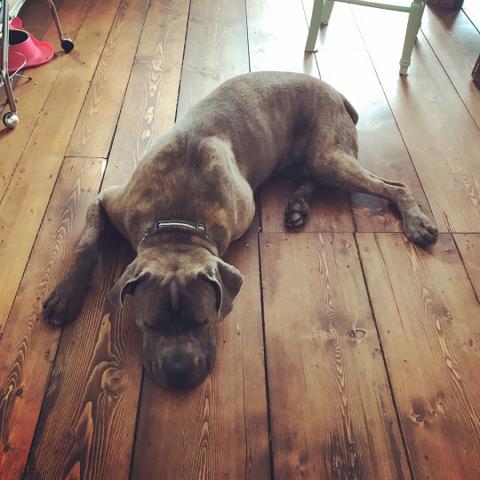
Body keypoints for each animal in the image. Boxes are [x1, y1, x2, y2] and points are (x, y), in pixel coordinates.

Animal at [43, 71, 436, 388]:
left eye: (203, 321)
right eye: (149, 325)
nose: (179, 376)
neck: (176, 225)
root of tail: (335, 92)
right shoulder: (106, 201)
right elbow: (87, 246)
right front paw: (66, 295)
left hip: (328, 157)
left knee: (394, 185)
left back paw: (416, 222)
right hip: (311, 160)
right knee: (313, 177)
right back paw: (298, 206)